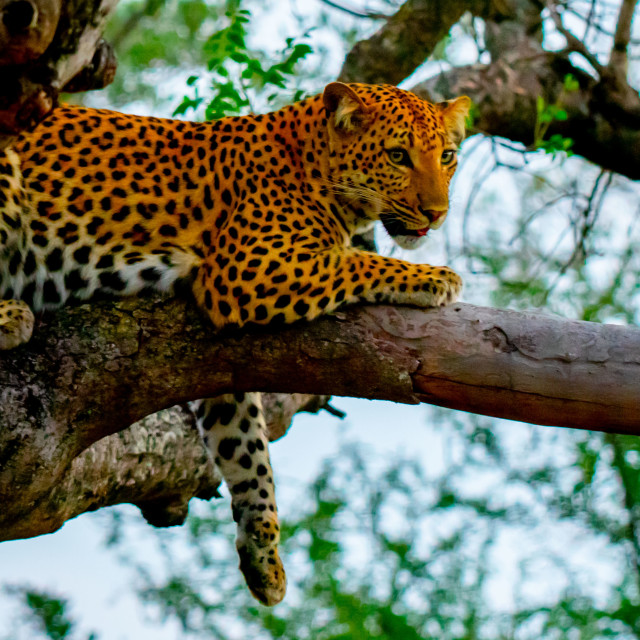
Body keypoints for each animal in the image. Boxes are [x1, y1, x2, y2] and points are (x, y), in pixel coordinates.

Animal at [0, 82, 470, 608]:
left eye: (447, 156)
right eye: (397, 156)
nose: (437, 214)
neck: (309, 160)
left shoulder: (214, 363)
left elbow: (247, 448)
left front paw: (264, 555)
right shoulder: (250, 267)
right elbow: (355, 260)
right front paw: (434, 277)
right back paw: (10, 315)